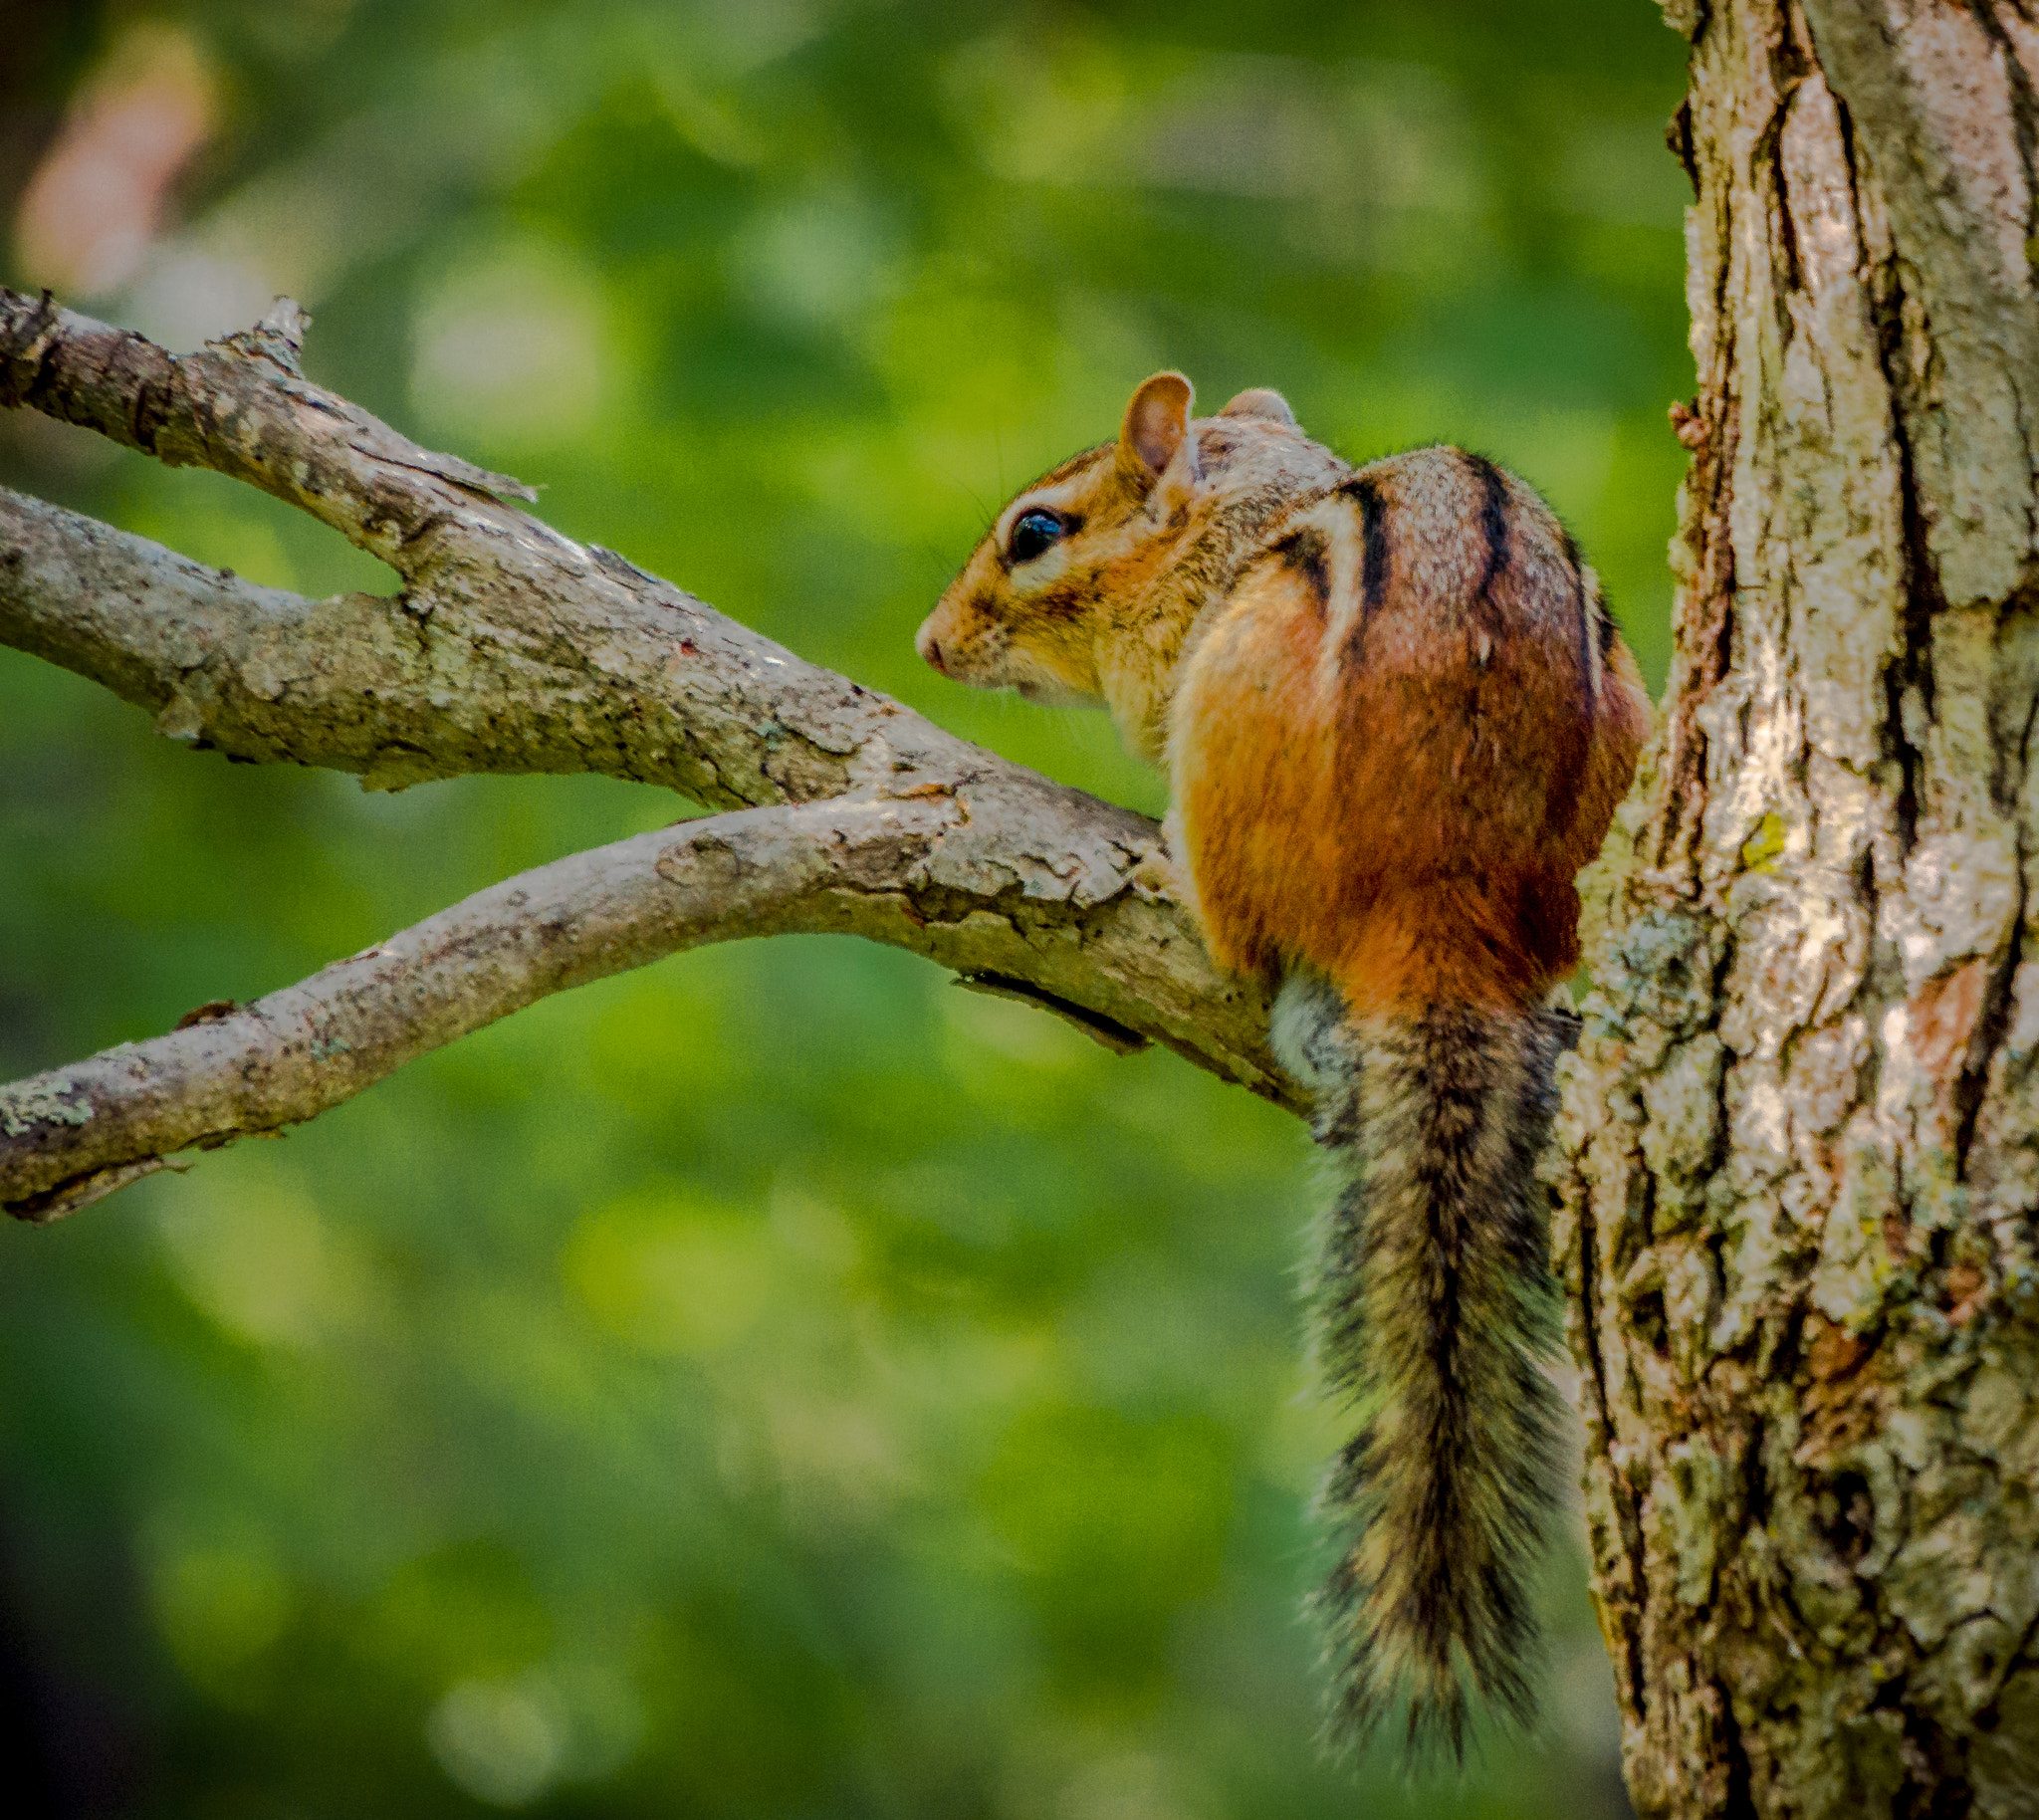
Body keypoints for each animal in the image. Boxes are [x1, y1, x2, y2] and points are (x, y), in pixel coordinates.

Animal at [915, 372, 1650, 1761]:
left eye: (1033, 532)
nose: (931, 644)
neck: (1235, 509)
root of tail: (1439, 915)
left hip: (1224, 727)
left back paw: (1168, 875)